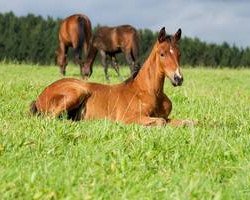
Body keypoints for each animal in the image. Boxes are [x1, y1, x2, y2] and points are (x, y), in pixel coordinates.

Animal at [30, 27, 193, 126]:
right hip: (77, 92)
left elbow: (189, 122)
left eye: (179, 54)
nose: (178, 78)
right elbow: (160, 122)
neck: (150, 91)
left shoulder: (166, 116)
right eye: (162, 54)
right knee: (51, 119)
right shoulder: (128, 118)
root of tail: (39, 97)